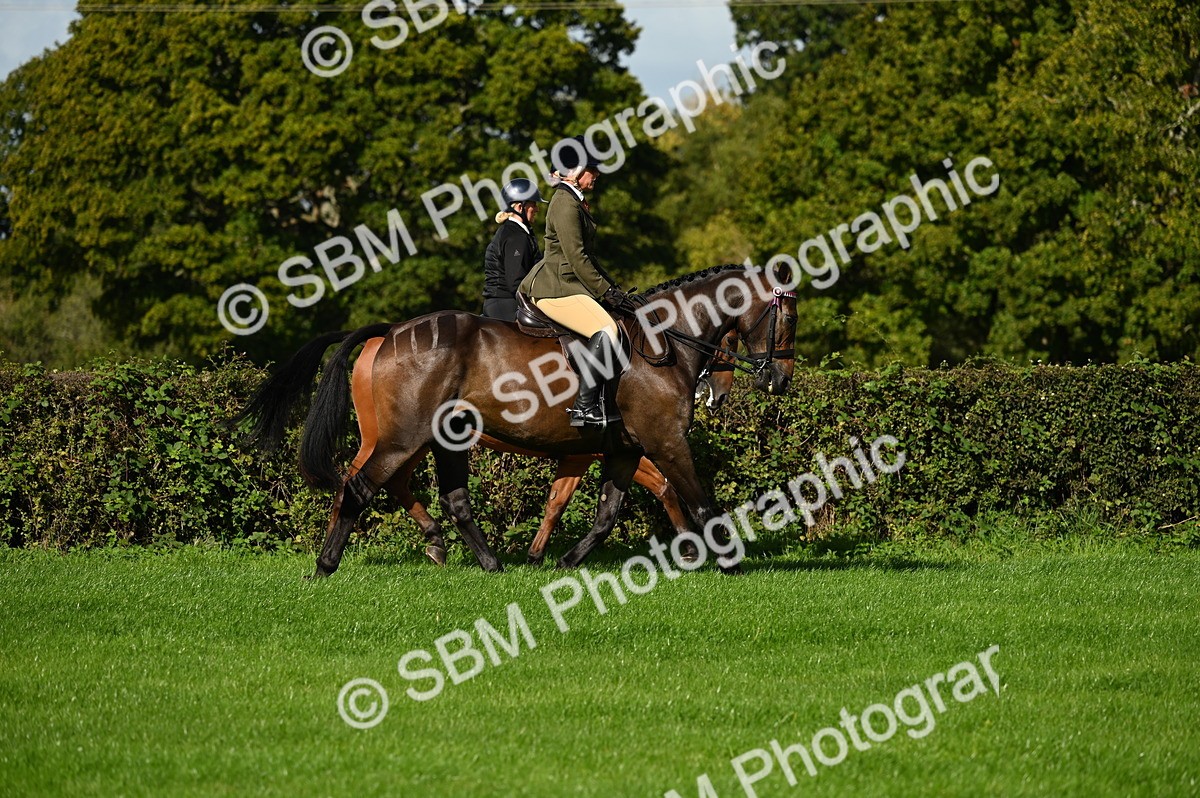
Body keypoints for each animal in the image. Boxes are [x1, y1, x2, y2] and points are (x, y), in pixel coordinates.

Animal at [348, 329, 741, 566]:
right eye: (730, 338)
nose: (720, 394)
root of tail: (383, 339)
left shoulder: (583, 456)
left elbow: (557, 502)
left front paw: (537, 555)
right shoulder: (613, 450)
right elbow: (664, 487)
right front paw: (688, 547)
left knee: (391, 481)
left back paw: (435, 542)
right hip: (395, 439)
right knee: (359, 478)